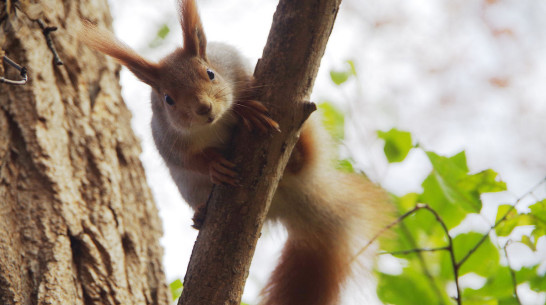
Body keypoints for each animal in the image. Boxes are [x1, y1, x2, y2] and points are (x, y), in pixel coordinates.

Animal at [78, 0, 388, 304]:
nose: (204, 108)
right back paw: (201, 214)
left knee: (306, 153)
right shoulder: (167, 141)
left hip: (308, 130)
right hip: (190, 188)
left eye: (210, 73)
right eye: (168, 99)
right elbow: (190, 160)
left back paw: (297, 154)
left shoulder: (235, 64)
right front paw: (214, 164)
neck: (213, 125)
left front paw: (247, 110)